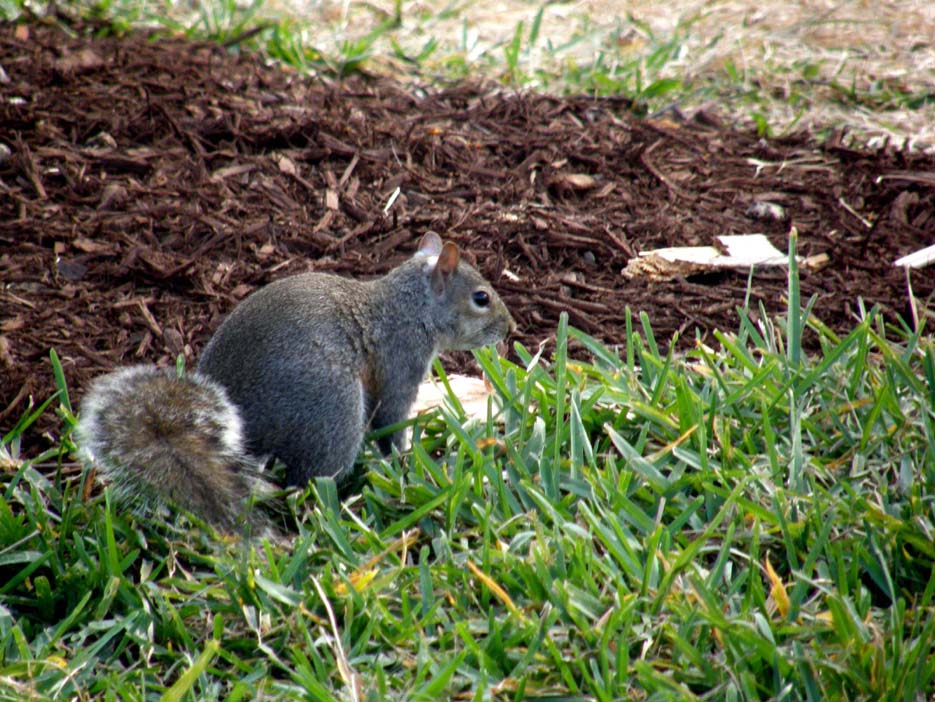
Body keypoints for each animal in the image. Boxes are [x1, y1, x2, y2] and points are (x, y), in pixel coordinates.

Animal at [74, 234, 516, 532]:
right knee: (308, 482)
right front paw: (406, 464)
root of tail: (243, 436)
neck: (409, 307)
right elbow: (391, 421)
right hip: (333, 410)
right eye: (481, 298)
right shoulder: (400, 360)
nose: (509, 328)